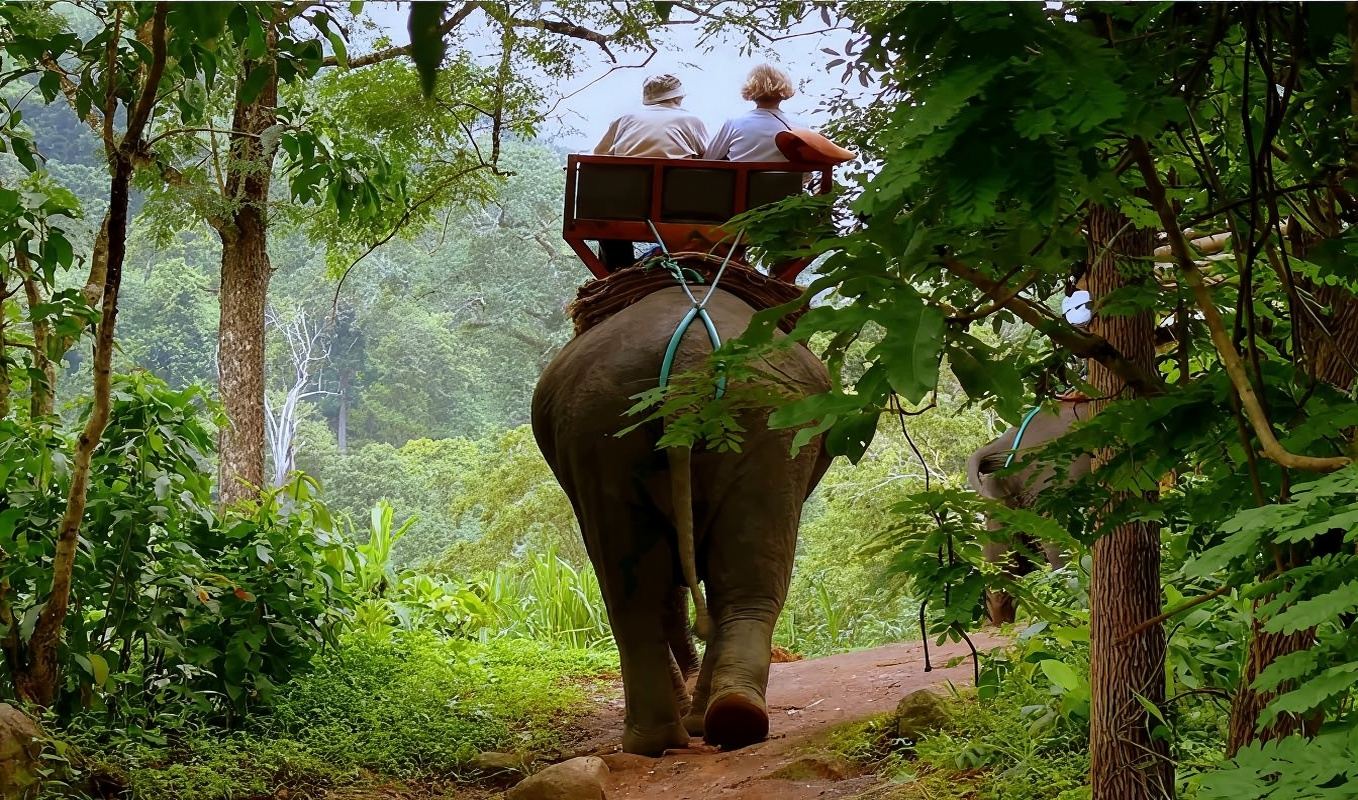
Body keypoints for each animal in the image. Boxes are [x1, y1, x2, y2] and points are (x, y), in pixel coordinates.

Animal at [531, 282, 831, 756]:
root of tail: (690, 359)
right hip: (760, 419)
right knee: (729, 583)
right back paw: (717, 723)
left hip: (612, 426)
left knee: (643, 588)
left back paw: (678, 733)